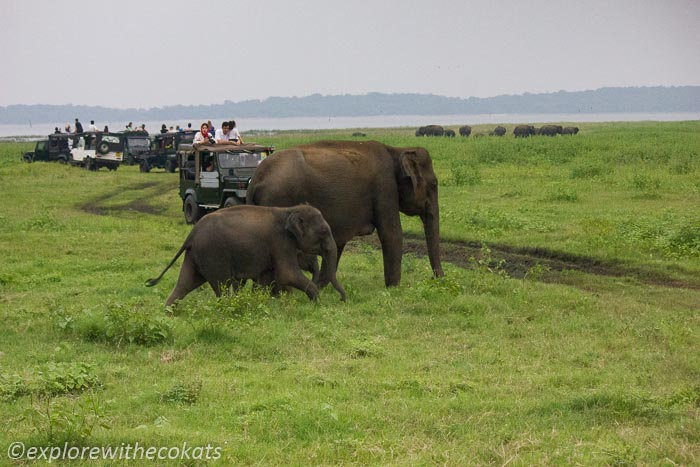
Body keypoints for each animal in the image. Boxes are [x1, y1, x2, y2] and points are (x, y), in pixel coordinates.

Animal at [146, 205, 348, 308]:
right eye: (323, 232)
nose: (342, 300)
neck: (289, 210)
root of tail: (191, 234)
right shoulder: (280, 242)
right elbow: (288, 274)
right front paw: (317, 304)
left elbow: (268, 277)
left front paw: (263, 302)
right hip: (213, 253)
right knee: (220, 285)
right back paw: (227, 308)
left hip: (196, 255)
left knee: (186, 283)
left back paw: (169, 312)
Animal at [247, 139, 442, 288]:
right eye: (434, 184)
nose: (436, 279)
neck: (396, 150)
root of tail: (256, 180)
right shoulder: (384, 188)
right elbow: (391, 234)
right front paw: (394, 288)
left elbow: (337, 242)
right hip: (279, 198)